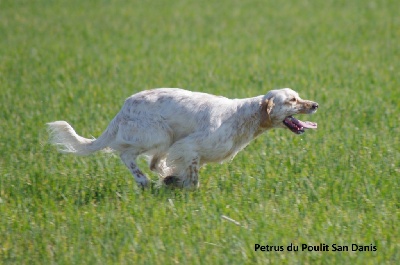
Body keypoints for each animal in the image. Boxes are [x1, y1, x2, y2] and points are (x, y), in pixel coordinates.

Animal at [47, 88, 318, 188]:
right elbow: (193, 180)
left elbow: (177, 171)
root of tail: (123, 108)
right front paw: (178, 184)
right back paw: (143, 181)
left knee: (153, 163)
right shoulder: (188, 146)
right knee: (126, 155)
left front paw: (172, 180)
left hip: (162, 141)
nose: (315, 104)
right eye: (292, 100)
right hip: (159, 135)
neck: (243, 116)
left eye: (297, 95)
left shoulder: (184, 151)